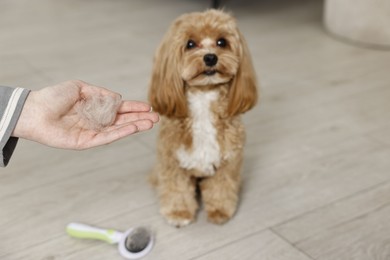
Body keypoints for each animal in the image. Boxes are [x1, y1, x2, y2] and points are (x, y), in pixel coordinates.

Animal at [148, 9, 258, 226]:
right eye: (190, 44)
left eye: (222, 42)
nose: (210, 58)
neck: (203, 98)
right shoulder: (172, 162)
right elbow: (177, 189)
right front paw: (179, 213)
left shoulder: (228, 162)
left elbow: (221, 188)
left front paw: (220, 211)